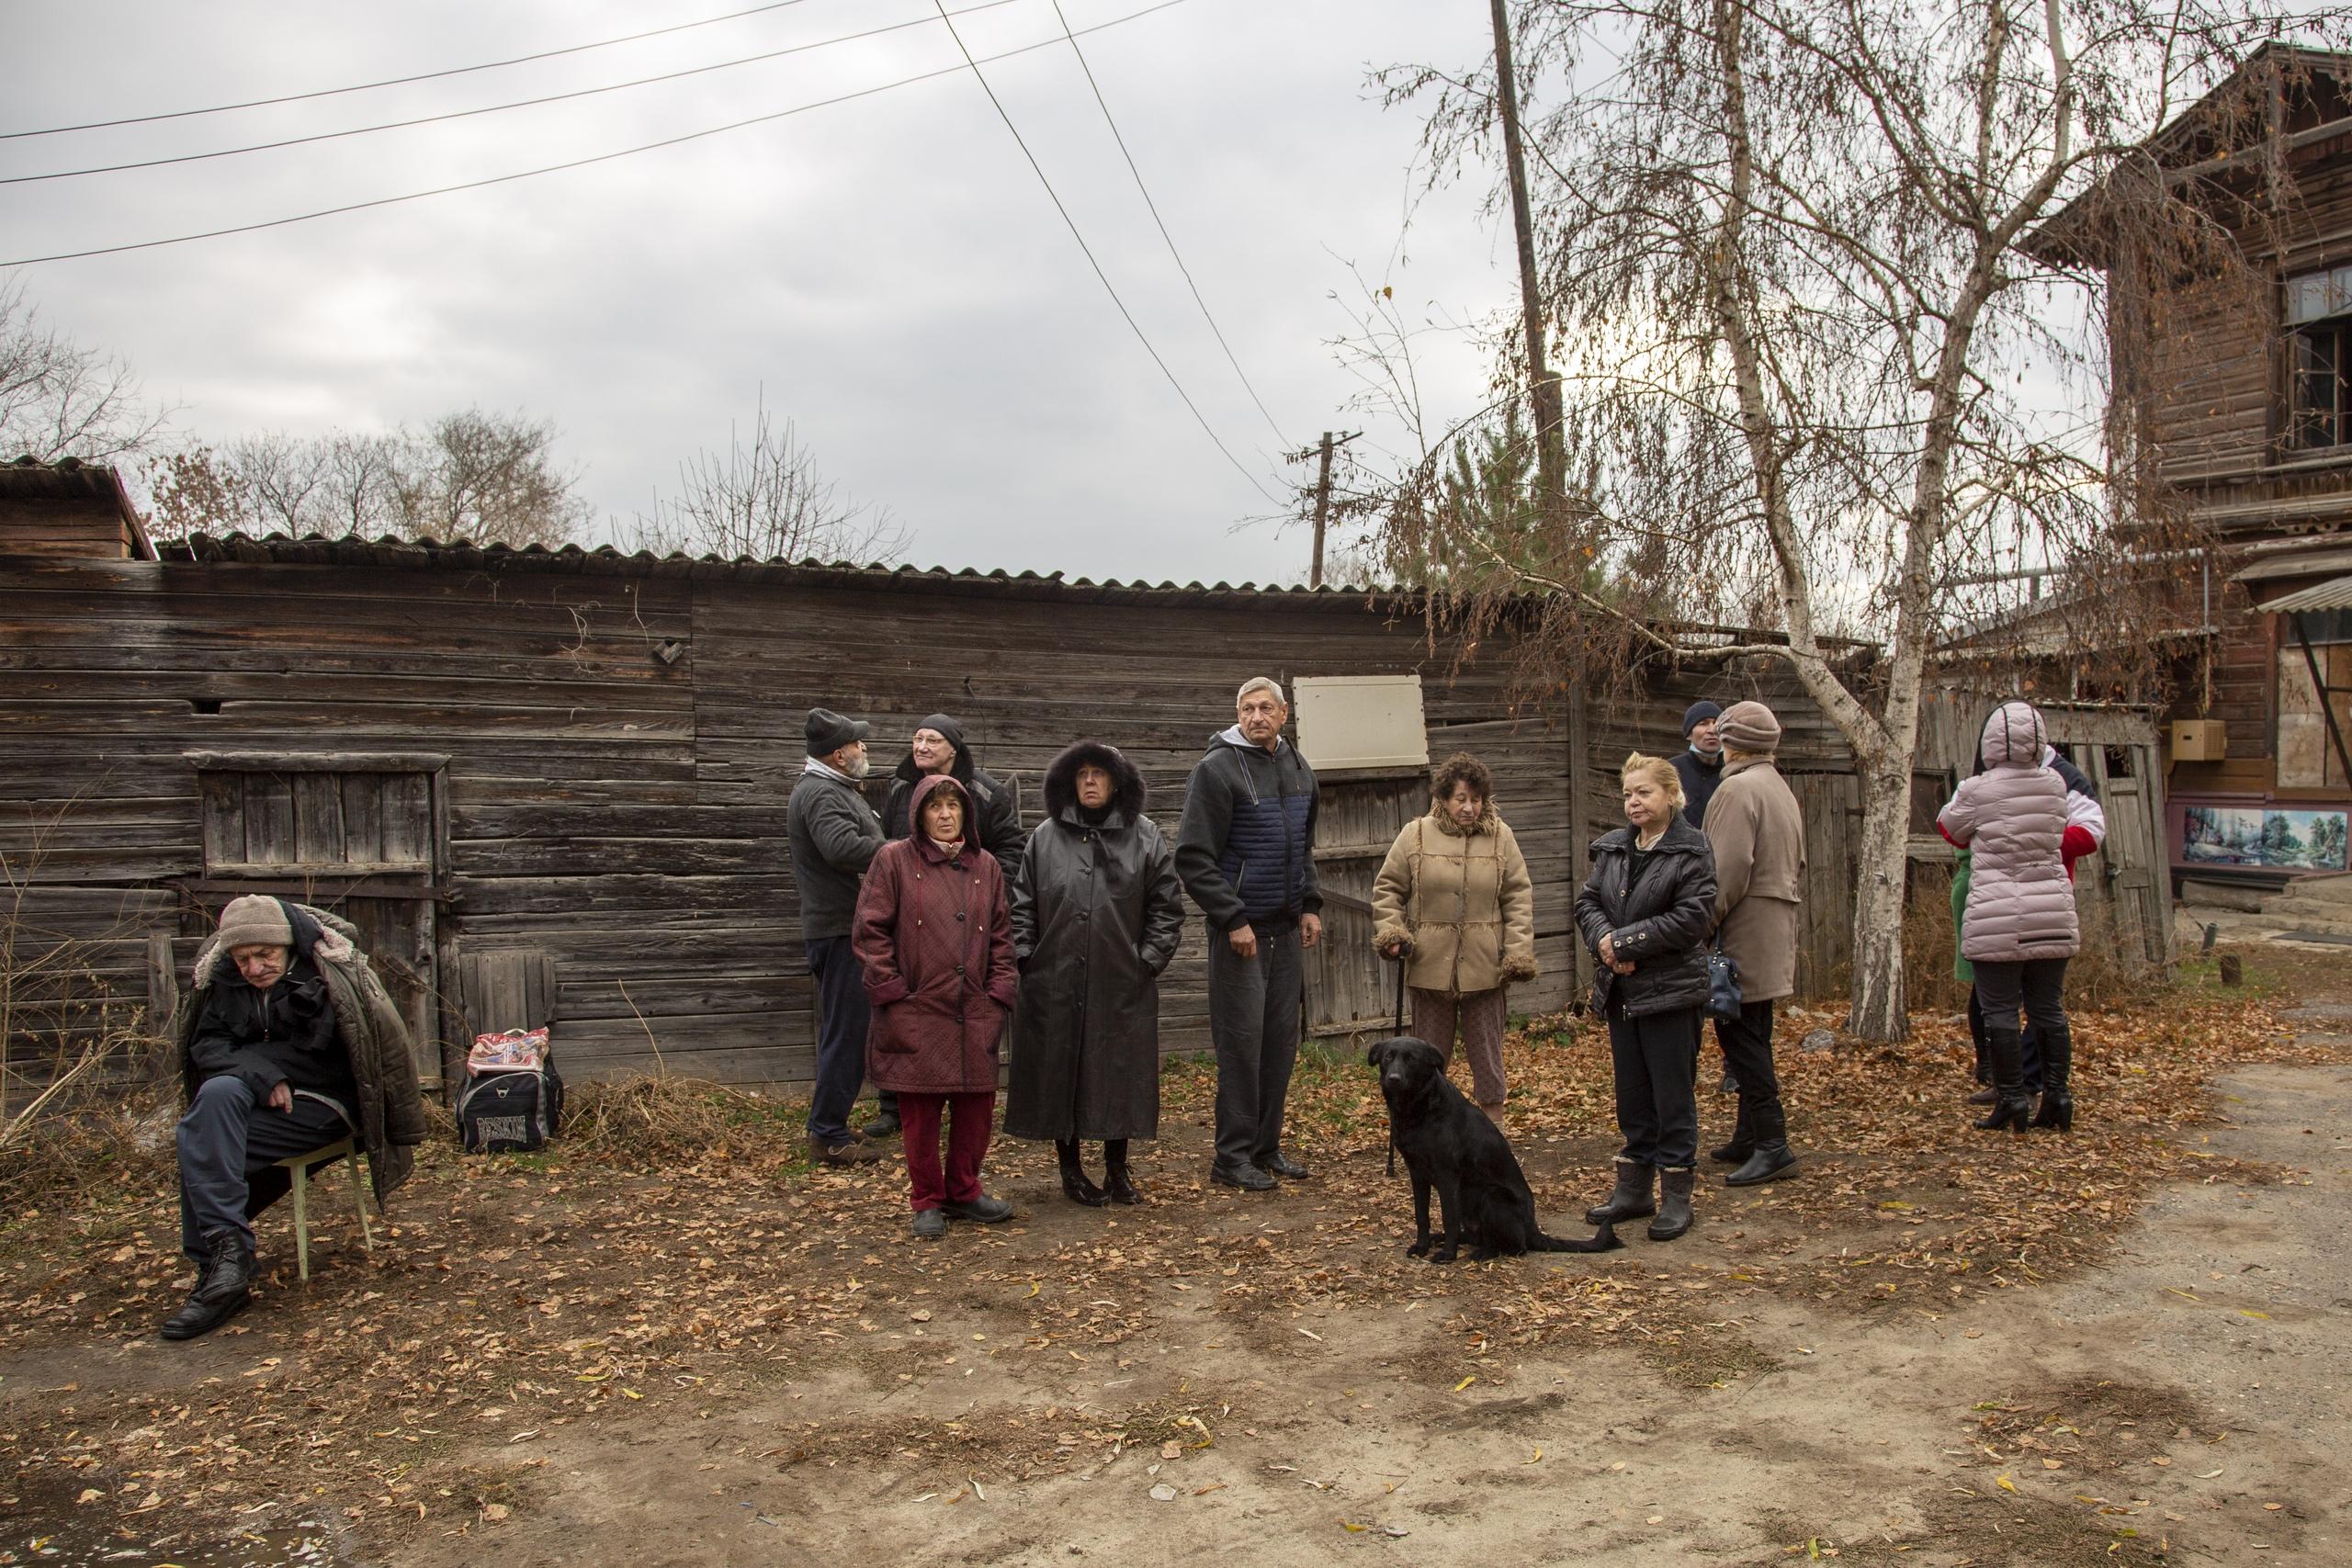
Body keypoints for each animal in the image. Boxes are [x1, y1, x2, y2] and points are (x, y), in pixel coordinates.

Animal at [1374, 1043, 1627, 1259]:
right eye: (1388, 1057)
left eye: (1411, 1059)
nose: (1393, 1079)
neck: (1421, 1108)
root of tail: (1532, 1230)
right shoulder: (1417, 1174)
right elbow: (1422, 1216)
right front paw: (1422, 1246)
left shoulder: (1447, 1177)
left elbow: (1448, 1218)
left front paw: (1448, 1255)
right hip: (1467, 1202)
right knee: (1475, 1236)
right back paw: (1445, 1239)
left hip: (1492, 1196)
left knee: (1516, 1247)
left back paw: (1482, 1254)